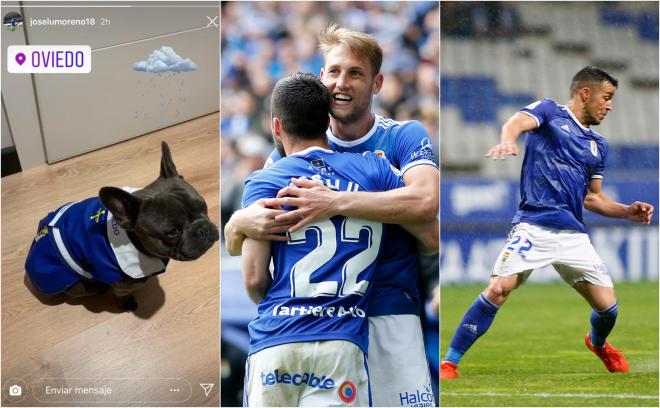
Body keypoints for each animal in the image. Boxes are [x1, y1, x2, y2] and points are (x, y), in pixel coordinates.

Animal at [24, 142, 219, 310]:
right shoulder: (122, 282)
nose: (203, 230)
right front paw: (126, 303)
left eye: (203, 206)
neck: (133, 241)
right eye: (173, 232)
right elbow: (121, 293)